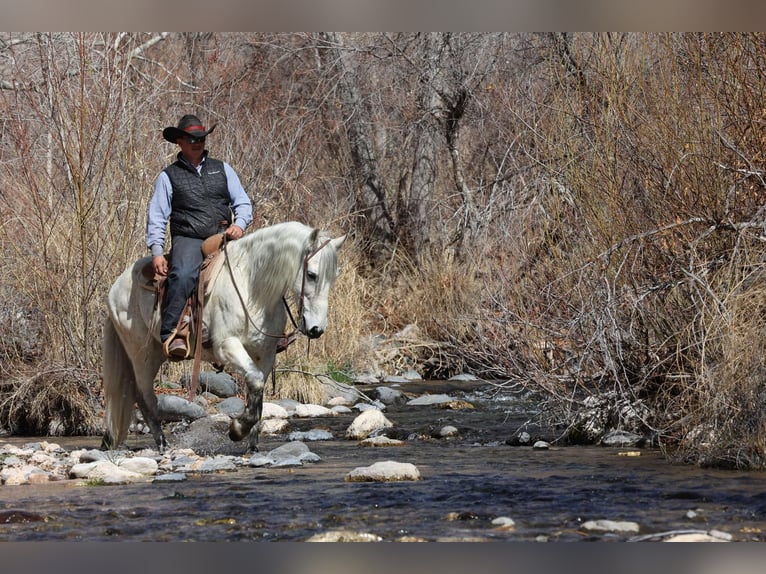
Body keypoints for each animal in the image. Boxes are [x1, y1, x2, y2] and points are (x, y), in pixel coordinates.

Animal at [100, 223, 346, 452]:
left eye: (334, 277)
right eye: (311, 275)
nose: (316, 329)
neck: (252, 288)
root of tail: (115, 287)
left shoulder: (265, 354)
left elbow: (257, 390)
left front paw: (252, 446)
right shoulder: (227, 346)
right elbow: (255, 381)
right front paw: (237, 430)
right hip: (142, 355)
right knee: (145, 397)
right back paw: (162, 444)